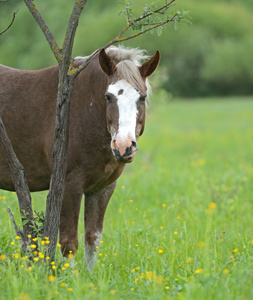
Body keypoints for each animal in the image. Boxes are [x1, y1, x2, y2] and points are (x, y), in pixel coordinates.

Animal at [0, 47, 159, 270]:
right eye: (109, 97)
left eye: (142, 98)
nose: (123, 146)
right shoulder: (69, 185)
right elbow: (69, 242)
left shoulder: (102, 188)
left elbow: (93, 238)